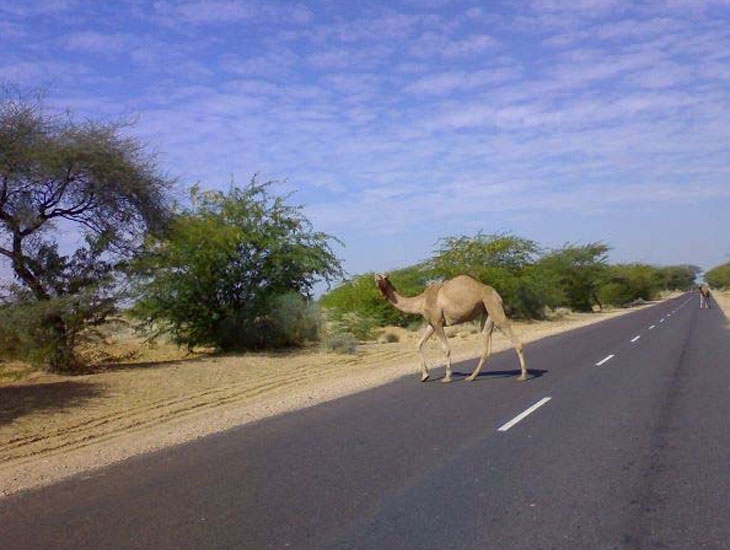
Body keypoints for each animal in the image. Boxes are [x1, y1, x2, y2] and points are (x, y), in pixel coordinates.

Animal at [376, 274, 524, 384]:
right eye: (376, 278)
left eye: (382, 278)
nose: (376, 278)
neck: (421, 302)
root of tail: (496, 294)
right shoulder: (431, 323)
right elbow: (418, 344)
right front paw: (425, 376)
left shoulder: (437, 322)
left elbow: (445, 348)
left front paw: (447, 377)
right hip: (487, 311)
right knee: (485, 337)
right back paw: (471, 377)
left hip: (493, 305)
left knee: (510, 333)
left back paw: (523, 375)